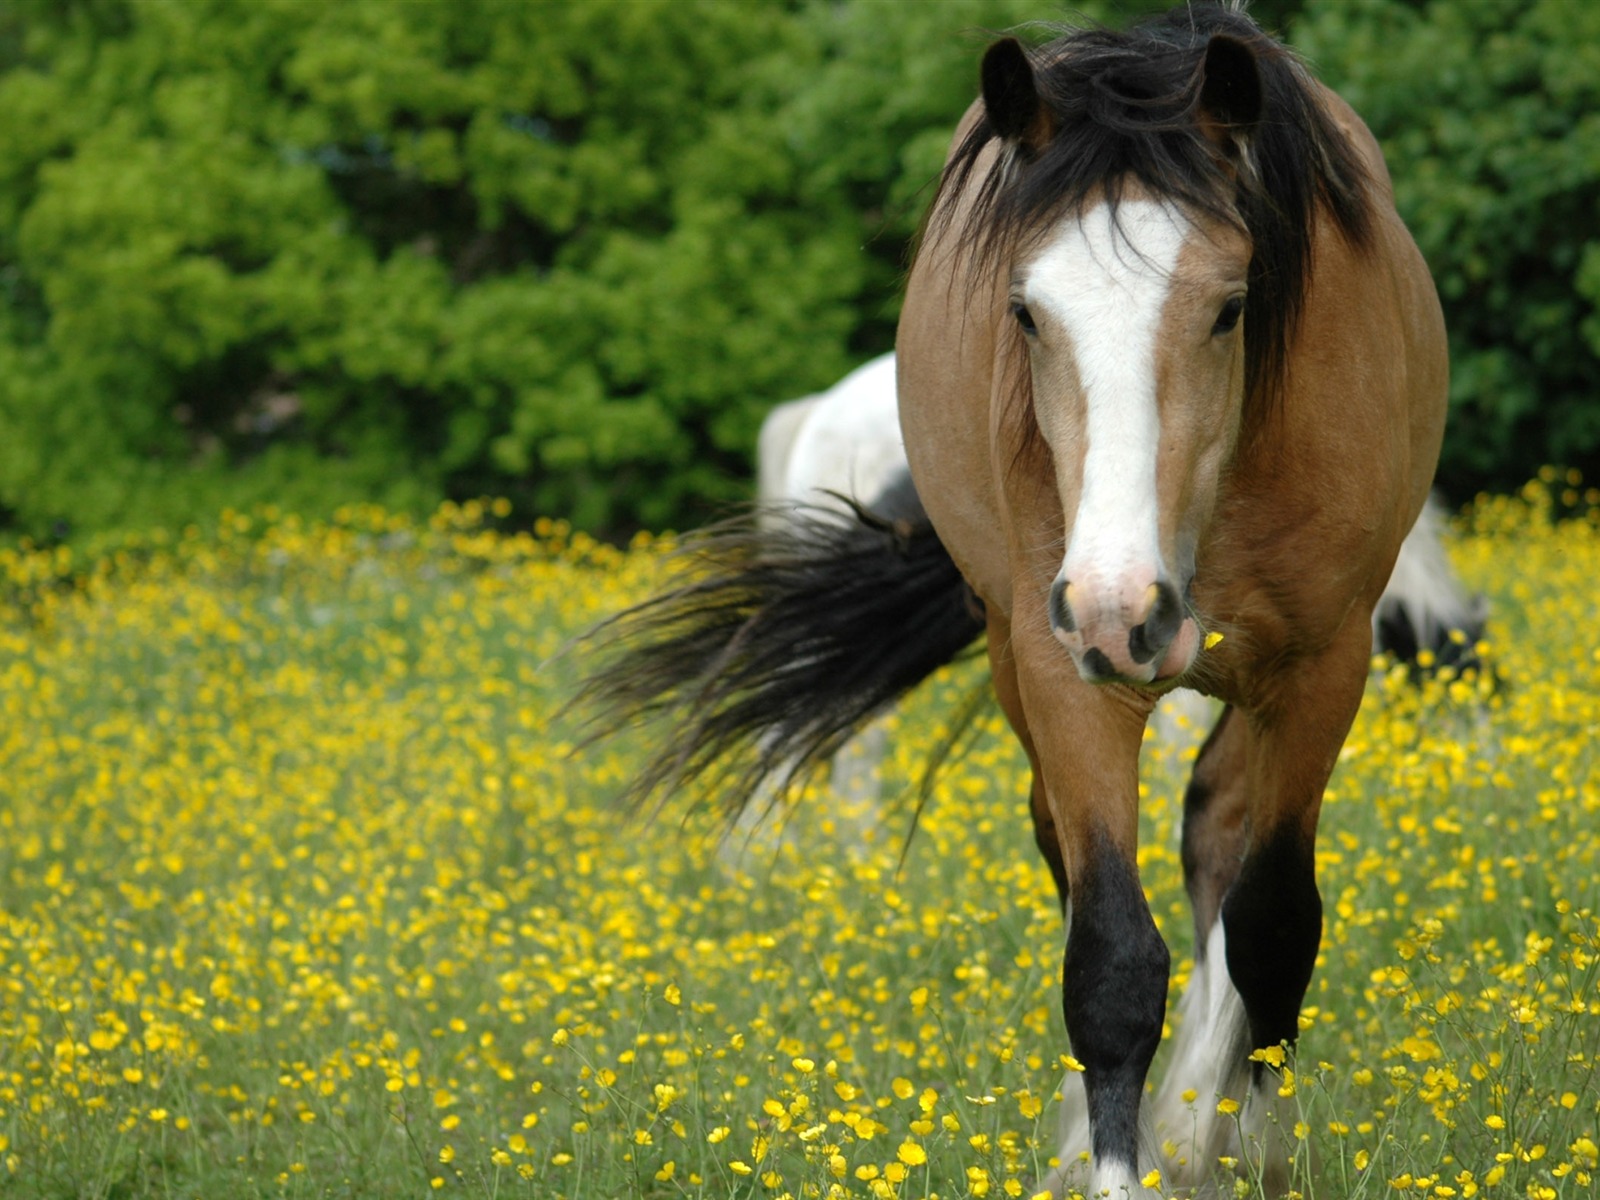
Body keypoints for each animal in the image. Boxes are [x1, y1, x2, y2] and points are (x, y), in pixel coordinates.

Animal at [579, 7, 1452, 1196]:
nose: (1124, 605)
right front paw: (1116, 1160)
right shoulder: (1069, 669)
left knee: (1218, 836)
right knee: (1092, 860)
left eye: (1231, 307)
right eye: (1027, 313)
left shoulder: (1322, 667)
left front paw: (1250, 1150)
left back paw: (1201, 1123)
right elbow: (1110, 960)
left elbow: (1272, 925)